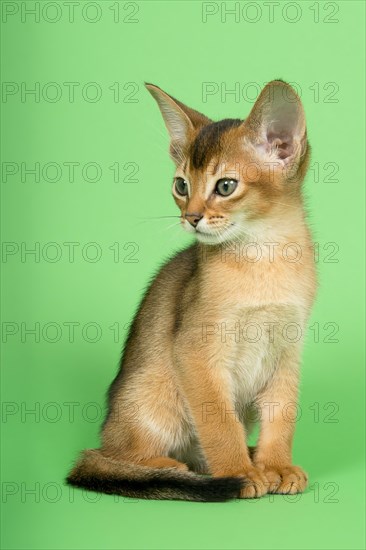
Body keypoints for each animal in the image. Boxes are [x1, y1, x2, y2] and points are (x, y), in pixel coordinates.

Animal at [66, 78, 318, 504]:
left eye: (226, 186)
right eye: (181, 185)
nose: (191, 217)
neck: (265, 256)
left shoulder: (288, 349)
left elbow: (282, 415)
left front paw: (276, 465)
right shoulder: (196, 351)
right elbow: (219, 424)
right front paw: (239, 472)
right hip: (155, 390)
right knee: (112, 454)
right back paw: (171, 467)